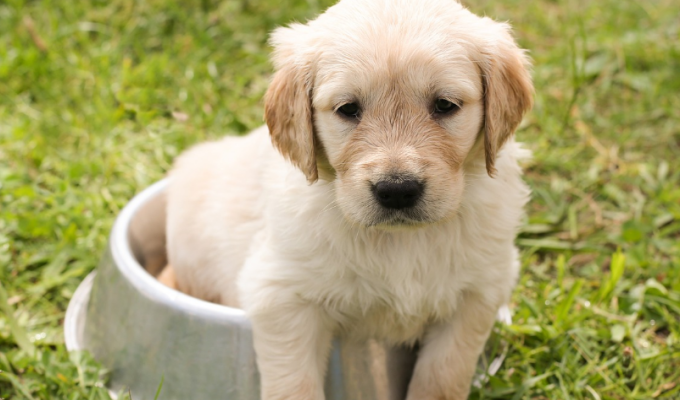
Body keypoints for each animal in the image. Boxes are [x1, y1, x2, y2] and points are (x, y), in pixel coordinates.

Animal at [165, 1, 532, 398]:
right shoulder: (282, 295)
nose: (397, 190)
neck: (400, 241)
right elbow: (294, 384)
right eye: (348, 109)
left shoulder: (477, 294)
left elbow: (443, 376)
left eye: (445, 105)